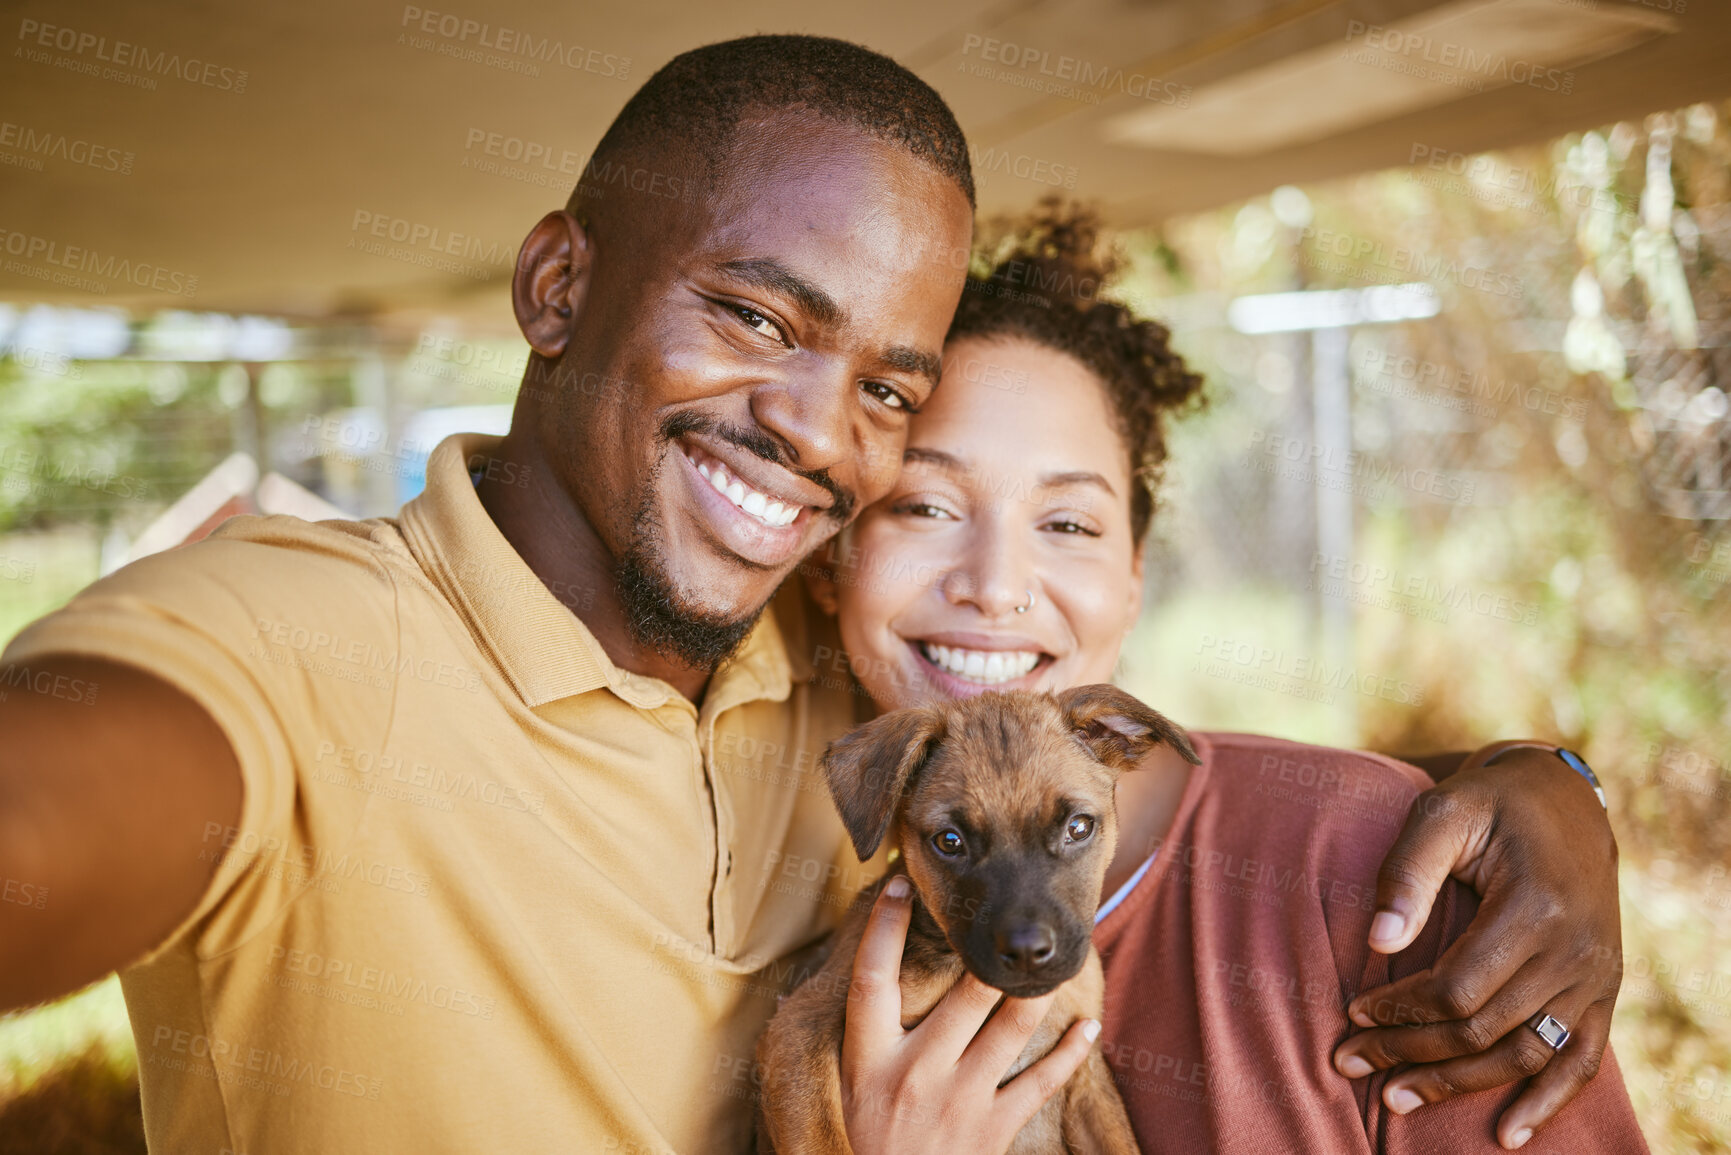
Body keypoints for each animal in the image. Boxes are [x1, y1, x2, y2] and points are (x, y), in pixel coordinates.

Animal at [758, 685, 1204, 1155]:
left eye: (1079, 827)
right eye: (950, 842)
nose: (1027, 952)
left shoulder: (1087, 1075)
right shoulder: (799, 1027)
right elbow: (825, 1141)